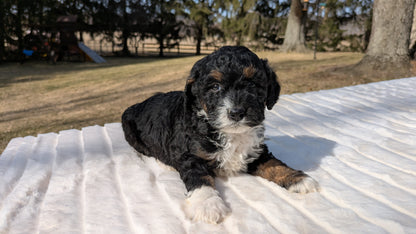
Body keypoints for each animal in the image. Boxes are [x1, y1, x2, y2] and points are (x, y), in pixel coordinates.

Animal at [120, 45, 318, 223]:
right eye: (215, 87)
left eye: (252, 84)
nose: (237, 112)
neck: (228, 132)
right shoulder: (192, 156)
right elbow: (200, 178)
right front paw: (208, 205)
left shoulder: (255, 150)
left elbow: (274, 163)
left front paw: (298, 179)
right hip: (130, 131)